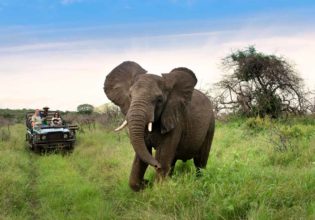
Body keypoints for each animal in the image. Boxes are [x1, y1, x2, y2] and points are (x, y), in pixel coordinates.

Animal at [105, 60, 216, 191]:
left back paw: (200, 181)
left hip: (211, 124)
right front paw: (145, 184)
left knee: (200, 161)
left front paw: (156, 186)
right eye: (130, 96)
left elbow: (162, 155)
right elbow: (141, 156)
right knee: (173, 161)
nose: (147, 180)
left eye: (159, 100)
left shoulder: (175, 121)